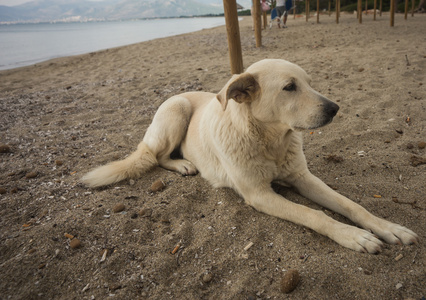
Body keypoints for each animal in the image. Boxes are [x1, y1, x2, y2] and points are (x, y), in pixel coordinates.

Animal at [81, 58, 418, 253]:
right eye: (289, 87)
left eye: (309, 83)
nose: (335, 108)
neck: (270, 142)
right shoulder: (259, 194)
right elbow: (314, 214)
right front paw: (353, 236)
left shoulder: (303, 178)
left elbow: (351, 205)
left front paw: (388, 228)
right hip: (177, 109)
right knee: (155, 156)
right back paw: (183, 164)